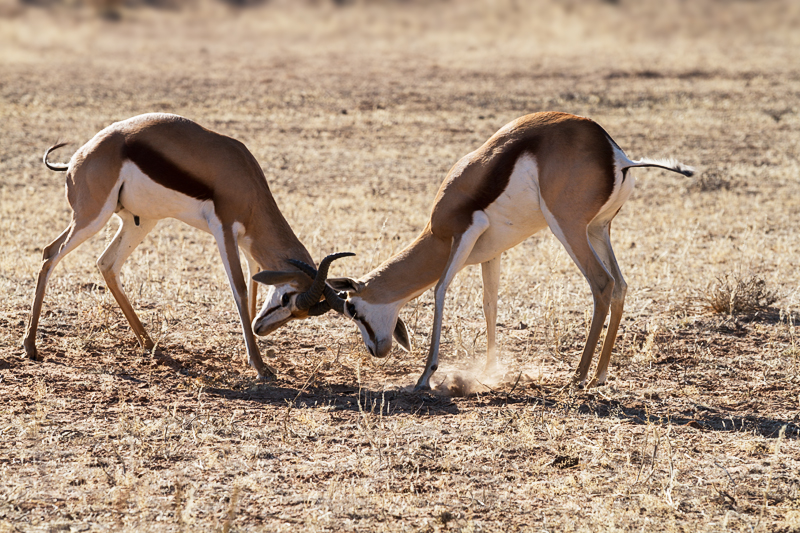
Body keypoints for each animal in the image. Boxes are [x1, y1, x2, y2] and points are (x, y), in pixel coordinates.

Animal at [24, 112, 350, 378]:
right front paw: (260, 367)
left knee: (106, 263)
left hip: (140, 222)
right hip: (92, 217)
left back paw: (149, 344)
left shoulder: (248, 246)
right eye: (286, 299)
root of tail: (77, 158)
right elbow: (240, 290)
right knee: (50, 254)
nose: (261, 329)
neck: (245, 179)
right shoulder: (224, 232)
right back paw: (30, 347)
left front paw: (254, 356)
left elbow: (254, 287)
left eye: (299, 314)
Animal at [318, 110, 692, 388]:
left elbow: (440, 291)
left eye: (352, 309)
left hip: (568, 228)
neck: (437, 230)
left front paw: (426, 376)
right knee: (621, 285)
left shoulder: (465, 232)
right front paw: (488, 370)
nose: (375, 350)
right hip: (598, 230)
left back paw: (578, 377)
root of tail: (616, 155)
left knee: (602, 284)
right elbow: (490, 304)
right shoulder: (491, 253)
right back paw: (599, 376)